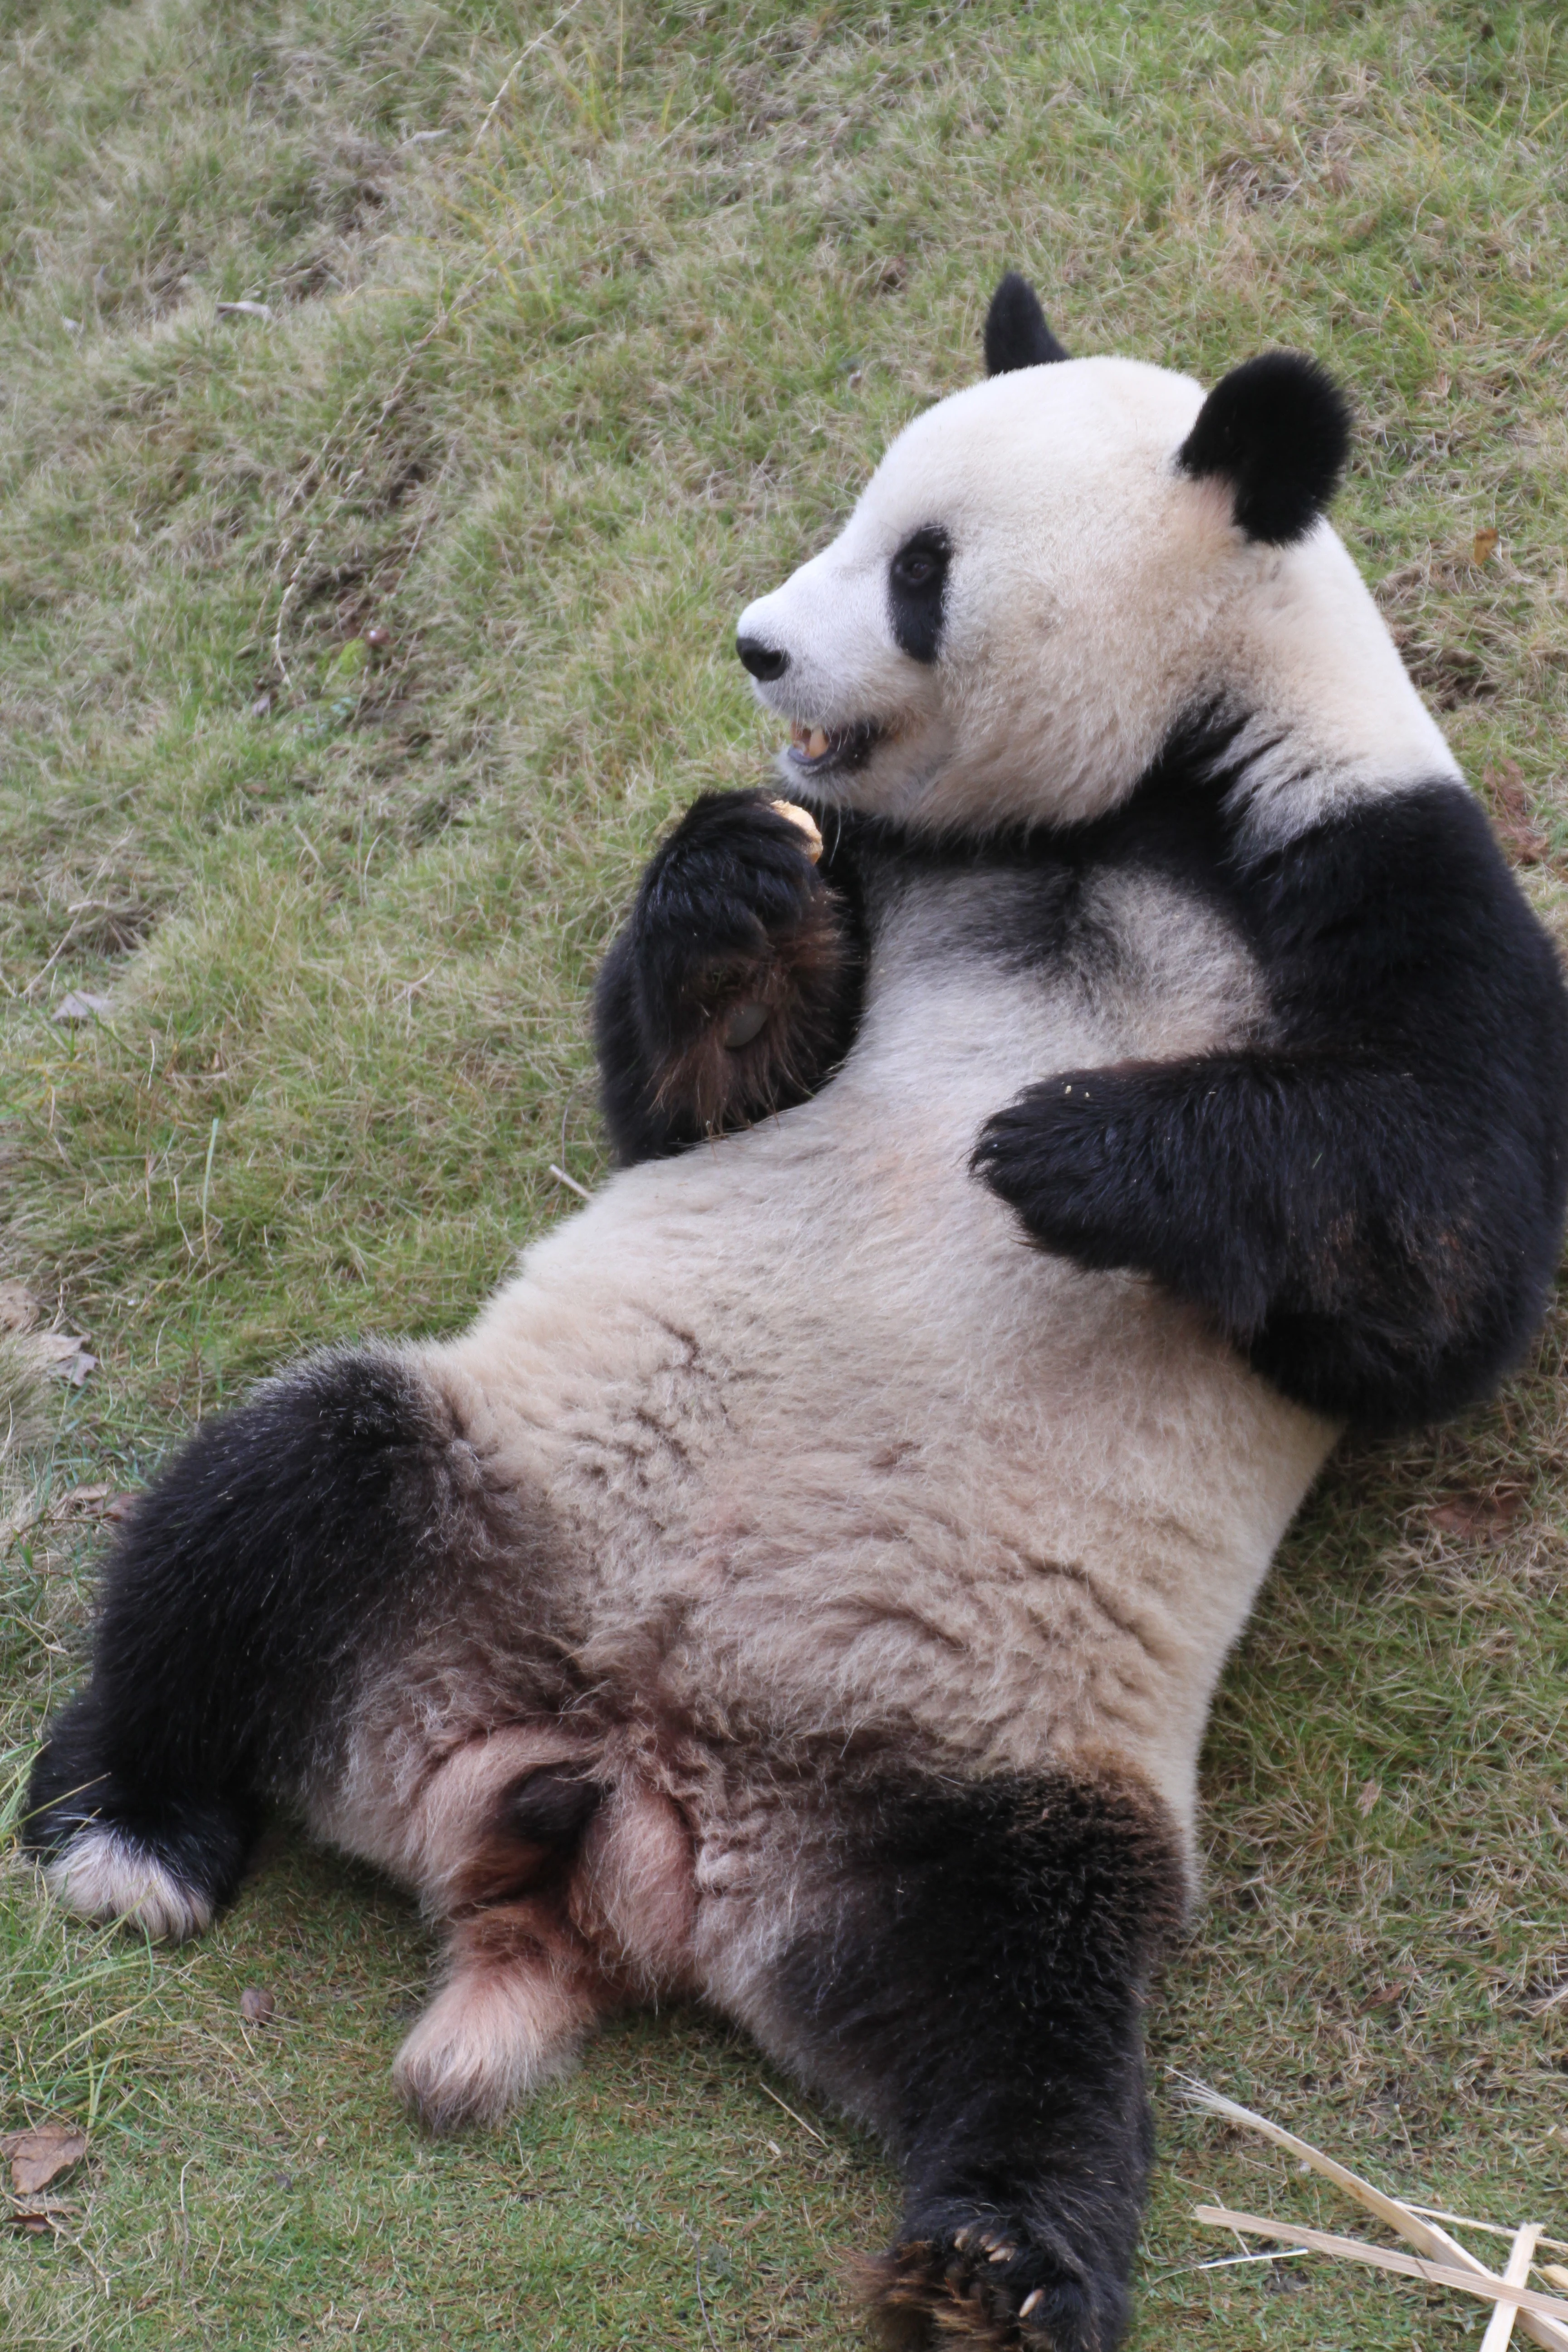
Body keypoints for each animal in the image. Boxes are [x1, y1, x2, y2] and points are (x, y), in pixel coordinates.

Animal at [25, 273, 1568, 2352]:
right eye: (861, 510)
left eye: (920, 569)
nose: (755, 644)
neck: (1135, 793)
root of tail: (619, 1801)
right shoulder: (897, 866)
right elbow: (692, 1095)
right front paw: (731, 880)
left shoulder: (1389, 871)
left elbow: (1443, 1263)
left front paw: (1075, 1150)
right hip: (489, 1489)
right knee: (276, 1487)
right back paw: (128, 1829)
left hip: (982, 1779)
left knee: (1033, 1993)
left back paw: (1000, 2256)